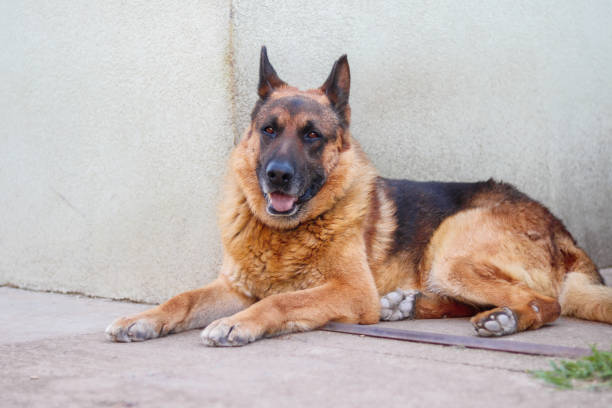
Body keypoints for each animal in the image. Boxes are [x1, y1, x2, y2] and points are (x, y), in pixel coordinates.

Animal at [106, 48, 612, 348]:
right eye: (268, 130)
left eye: (312, 136)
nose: (277, 176)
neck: (286, 234)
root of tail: (564, 235)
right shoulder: (234, 288)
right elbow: (183, 299)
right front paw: (143, 318)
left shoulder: (348, 290)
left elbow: (280, 303)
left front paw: (240, 323)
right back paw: (406, 306)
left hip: (451, 246)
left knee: (545, 303)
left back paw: (503, 319)